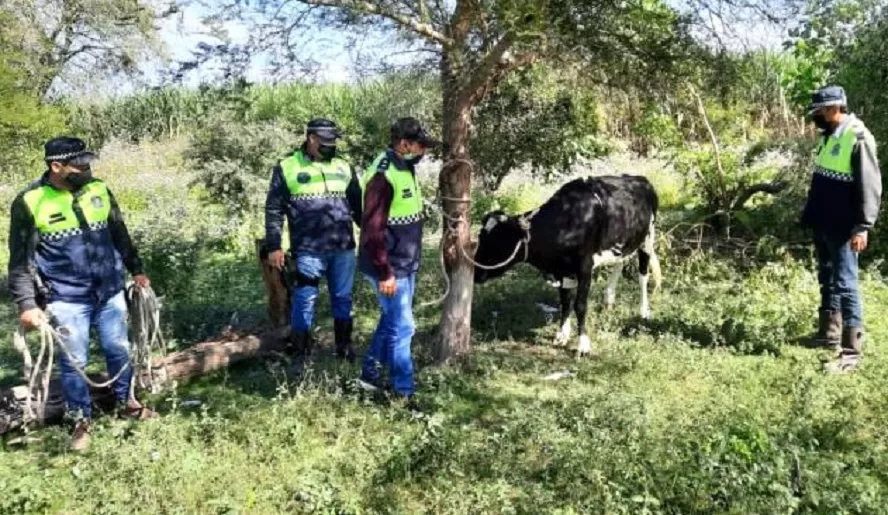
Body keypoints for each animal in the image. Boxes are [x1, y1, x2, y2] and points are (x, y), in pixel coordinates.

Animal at [472, 173, 660, 354]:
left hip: (647, 238)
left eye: (498, 241)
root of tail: (638, 178)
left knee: (643, 276)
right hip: (621, 242)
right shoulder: (562, 269)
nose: (476, 272)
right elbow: (565, 302)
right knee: (619, 263)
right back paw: (609, 300)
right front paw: (562, 335)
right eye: (481, 237)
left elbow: (580, 305)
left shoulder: (584, 266)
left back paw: (644, 311)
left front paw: (583, 344)